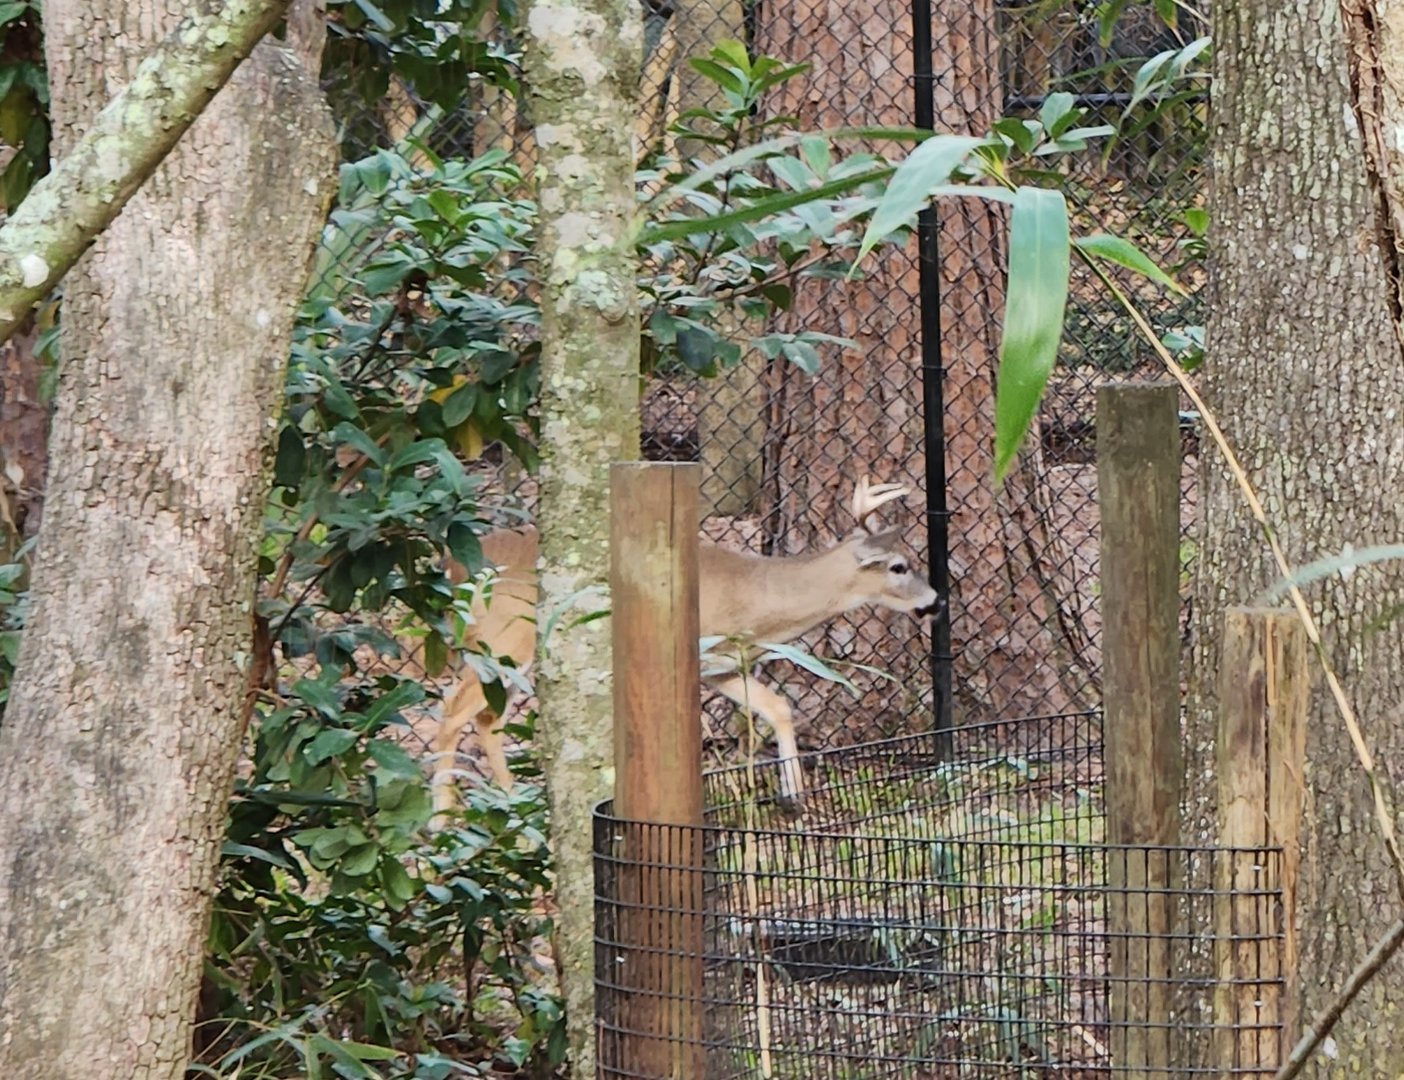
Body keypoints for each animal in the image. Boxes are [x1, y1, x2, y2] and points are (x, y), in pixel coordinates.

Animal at [427, 476, 941, 817]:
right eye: (898, 566)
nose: (935, 601)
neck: (755, 598)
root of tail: (451, 567)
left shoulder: (723, 665)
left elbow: (778, 706)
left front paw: (794, 796)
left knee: (487, 718)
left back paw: (513, 801)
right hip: (503, 636)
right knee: (453, 712)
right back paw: (440, 817)